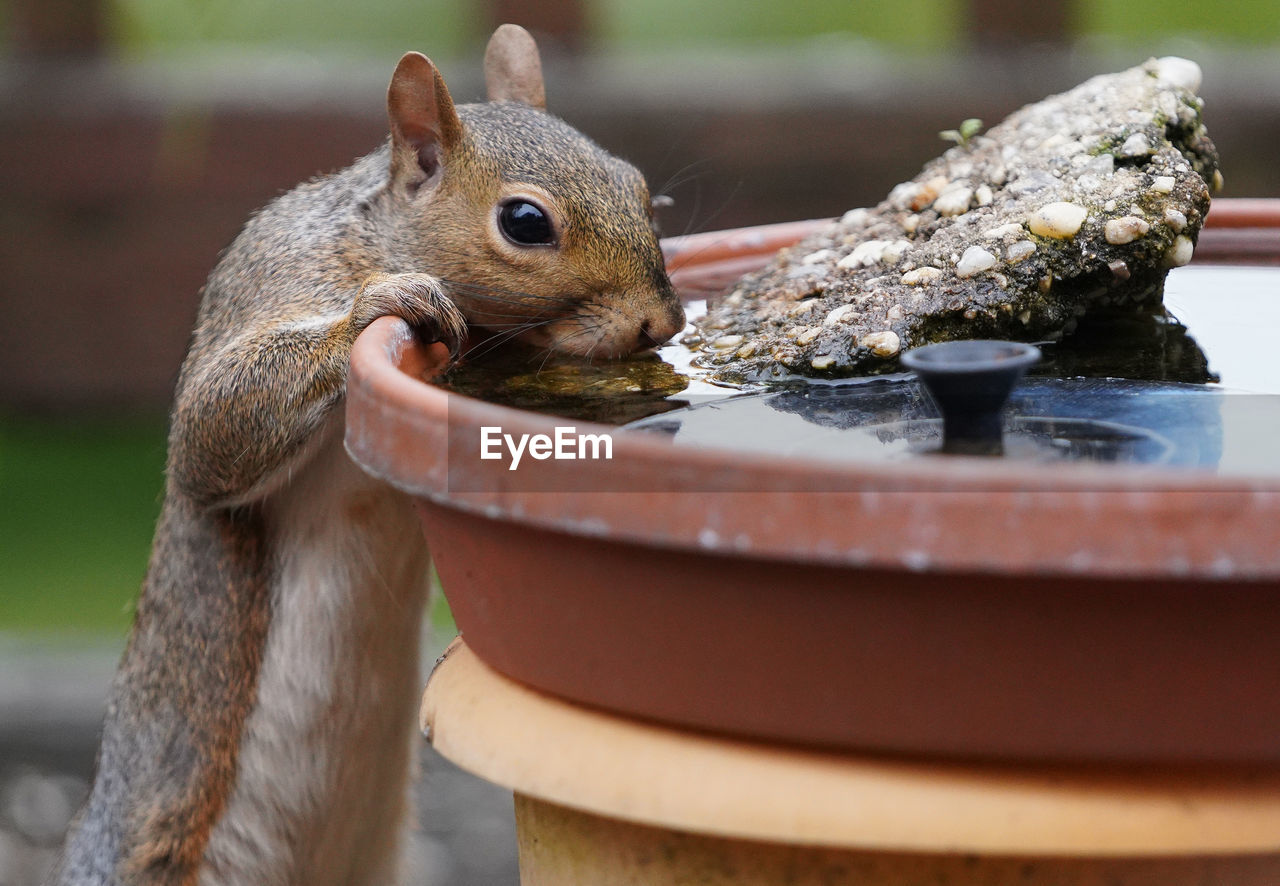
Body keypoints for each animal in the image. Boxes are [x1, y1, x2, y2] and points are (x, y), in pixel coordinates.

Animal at [49, 24, 686, 880]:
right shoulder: (275, 281)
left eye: (636, 183)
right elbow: (209, 439)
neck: (368, 239)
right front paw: (377, 309)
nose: (660, 322)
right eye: (524, 222)